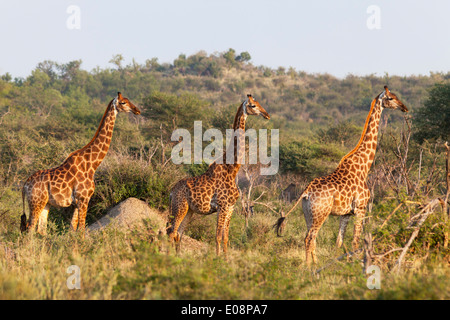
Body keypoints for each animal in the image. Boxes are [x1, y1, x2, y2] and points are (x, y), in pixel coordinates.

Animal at [20, 91, 141, 234]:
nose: (137, 110)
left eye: (129, 100)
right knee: (30, 229)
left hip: (46, 204)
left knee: (41, 230)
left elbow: (72, 229)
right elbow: (81, 230)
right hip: (36, 202)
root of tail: (25, 185)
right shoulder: (83, 199)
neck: (92, 164)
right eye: (123, 102)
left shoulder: (77, 202)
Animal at [166, 94, 268, 256]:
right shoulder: (222, 206)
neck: (232, 169)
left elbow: (226, 237)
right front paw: (217, 259)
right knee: (171, 232)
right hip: (179, 206)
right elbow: (218, 236)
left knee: (178, 233)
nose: (266, 114)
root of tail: (171, 192)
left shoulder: (230, 207)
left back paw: (178, 257)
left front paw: (225, 260)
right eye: (253, 105)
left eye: (259, 103)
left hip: (189, 210)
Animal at [274, 86, 408, 264]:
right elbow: (356, 241)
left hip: (308, 213)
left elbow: (339, 242)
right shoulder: (361, 208)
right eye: (391, 98)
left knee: (309, 238)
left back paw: (315, 265)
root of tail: (306, 192)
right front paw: (357, 264)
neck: (364, 167)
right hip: (321, 214)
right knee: (310, 238)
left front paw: (340, 264)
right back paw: (308, 267)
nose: (404, 108)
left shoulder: (345, 214)